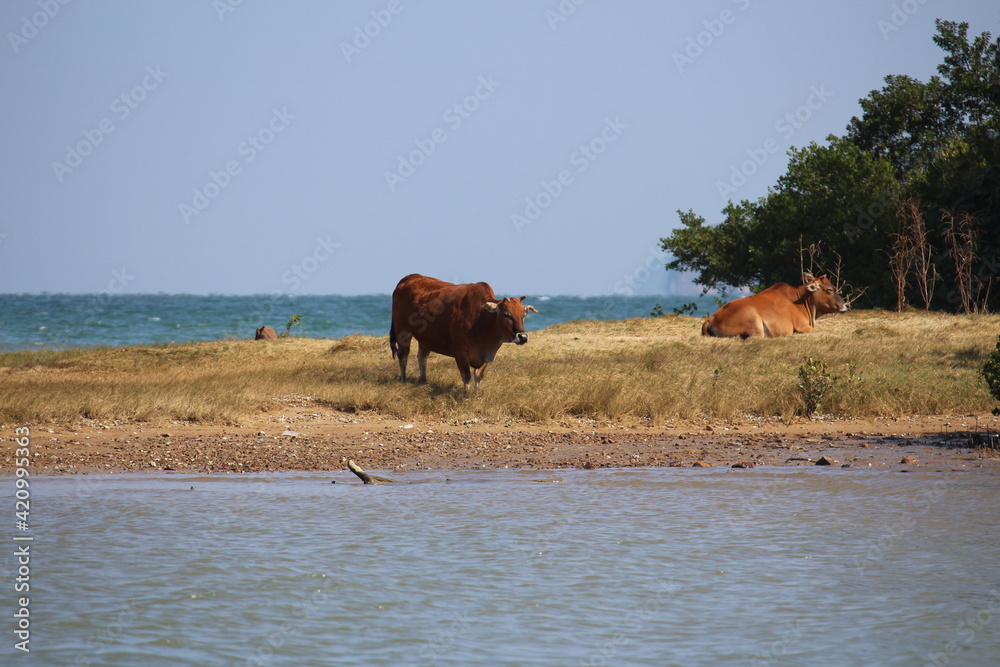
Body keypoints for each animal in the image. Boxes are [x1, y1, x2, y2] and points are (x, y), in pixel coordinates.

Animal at [386, 274, 536, 394]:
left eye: (523, 315)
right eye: (506, 314)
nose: (523, 337)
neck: (481, 320)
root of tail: (408, 278)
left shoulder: (485, 356)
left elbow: (478, 375)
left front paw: (476, 394)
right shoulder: (460, 353)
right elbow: (466, 375)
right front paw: (466, 396)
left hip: (425, 337)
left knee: (422, 358)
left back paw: (423, 380)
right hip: (403, 331)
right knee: (403, 356)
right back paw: (403, 380)